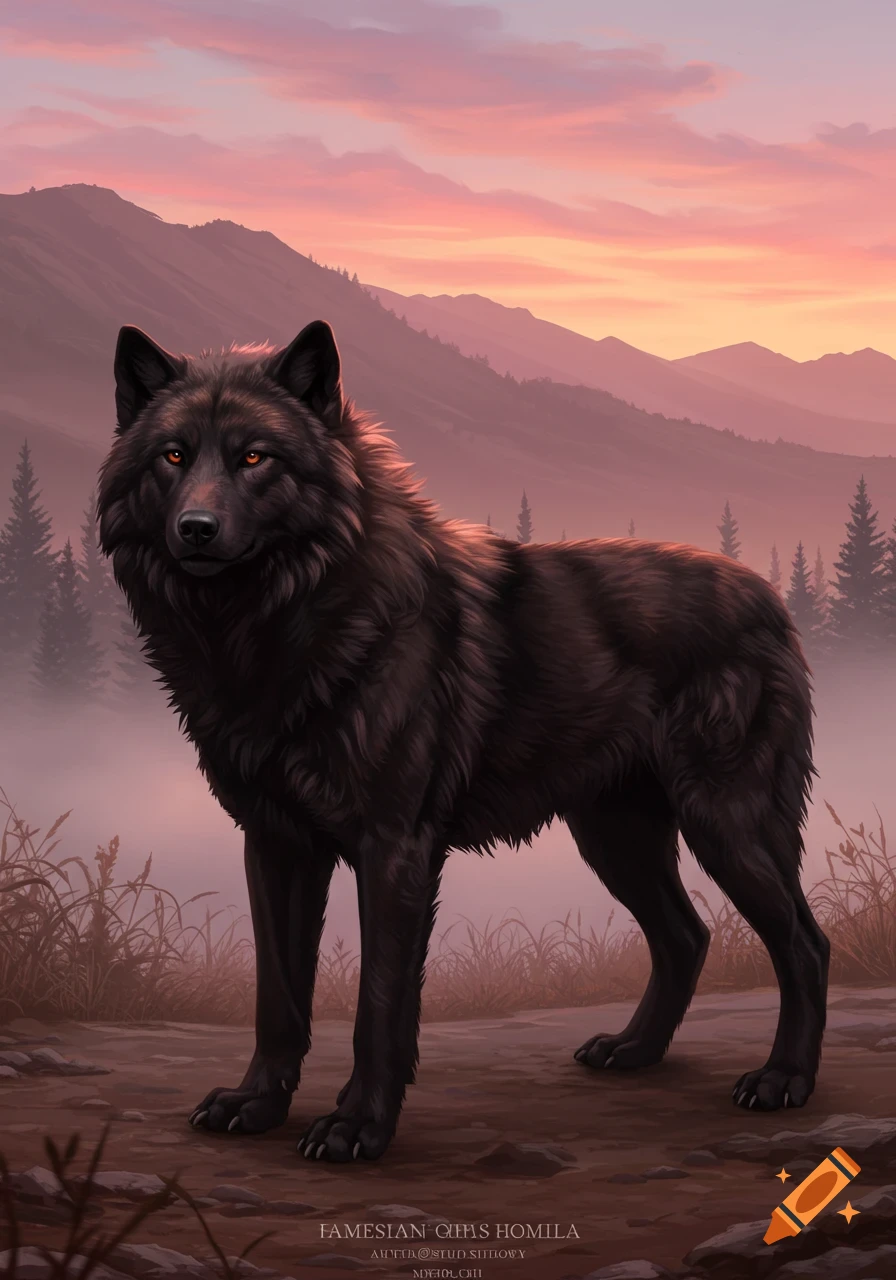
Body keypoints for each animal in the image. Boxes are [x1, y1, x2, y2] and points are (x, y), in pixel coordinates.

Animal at [98, 319, 830, 1163]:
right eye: (173, 456)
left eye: (255, 457)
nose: (197, 529)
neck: (279, 625)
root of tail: (768, 598)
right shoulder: (276, 843)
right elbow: (278, 996)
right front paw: (256, 1104)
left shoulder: (395, 848)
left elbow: (380, 1002)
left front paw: (358, 1126)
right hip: (616, 839)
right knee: (686, 936)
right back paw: (634, 1051)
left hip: (726, 826)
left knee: (804, 943)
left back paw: (783, 1081)